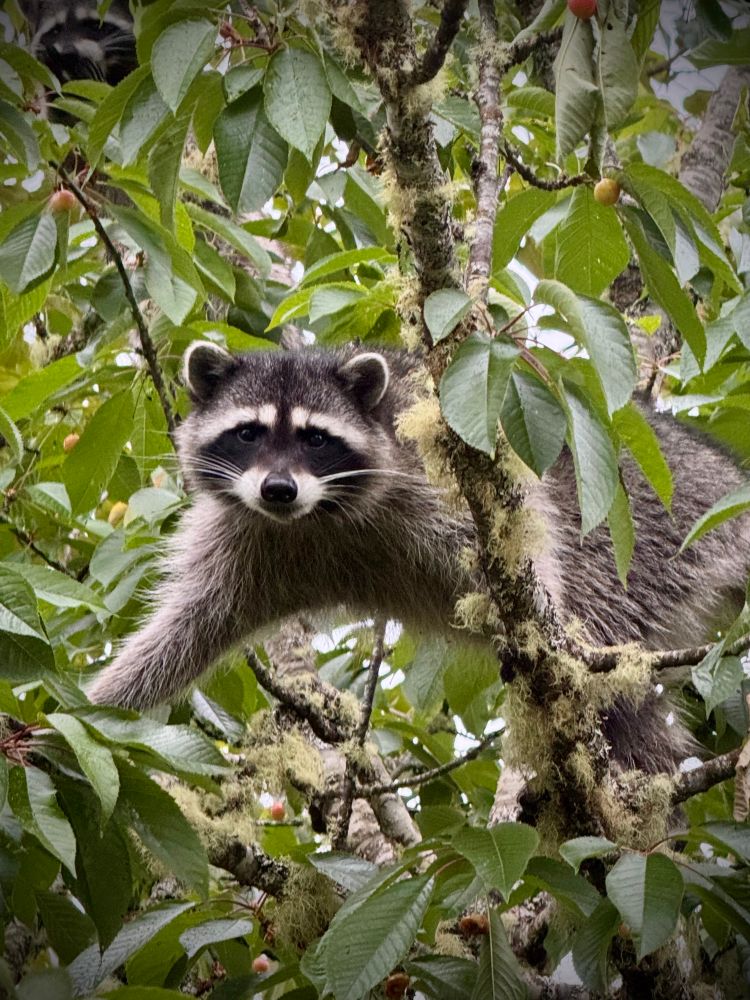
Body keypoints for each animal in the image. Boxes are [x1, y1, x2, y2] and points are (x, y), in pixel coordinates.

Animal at [88, 343, 750, 772]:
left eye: (315, 438)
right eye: (248, 432)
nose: (278, 490)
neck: (316, 520)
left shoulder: (436, 475)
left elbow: (527, 541)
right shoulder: (243, 539)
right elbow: (185, 628)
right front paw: (98, 706)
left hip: (646, 529)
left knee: (604, 643)